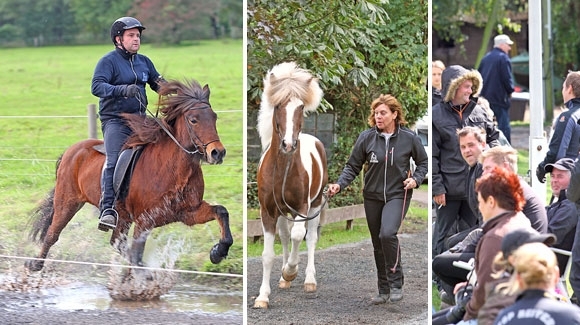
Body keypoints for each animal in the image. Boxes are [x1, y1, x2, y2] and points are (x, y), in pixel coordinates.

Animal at [24, 79, 233, 270]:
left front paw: (217, 252)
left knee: (117, 243)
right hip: (67, 202)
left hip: (121, 216)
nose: (217, 152)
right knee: (52, 234)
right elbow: (136, 255)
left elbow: (221, 212)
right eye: (193, 120)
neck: (173, 170)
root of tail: (71, 151)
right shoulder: (145, 221)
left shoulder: (188, 212)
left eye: (214, 117)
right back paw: (35, 264)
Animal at [253, 62, 328, 308]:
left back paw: (308, 280)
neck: (283, 169)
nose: (288, 144)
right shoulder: (268, 211)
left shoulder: (302, 208)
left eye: (300, 106)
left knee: (309, 238)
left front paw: (291, 271)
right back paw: (283, 280)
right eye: (278, 106)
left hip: (315, 205)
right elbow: (268, 254)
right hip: (283, 211)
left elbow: (298, 236)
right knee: (285, 237)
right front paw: (263, 296)